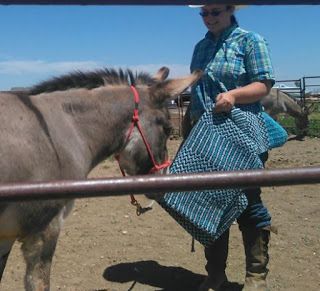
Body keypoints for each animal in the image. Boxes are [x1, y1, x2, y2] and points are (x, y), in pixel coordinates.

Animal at [0, 66, 201, 291]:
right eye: (167, 129)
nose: (164, 184)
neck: (62, 131)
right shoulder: (45, 230)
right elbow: (40, 283)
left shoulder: (6, 236)